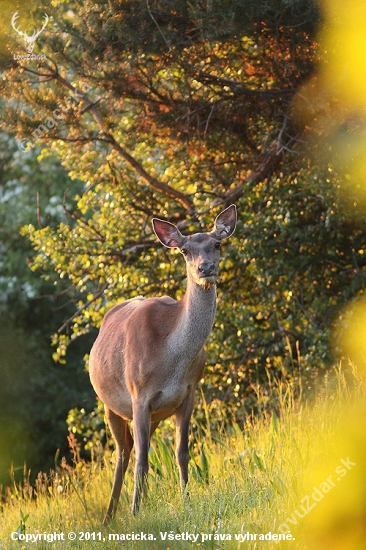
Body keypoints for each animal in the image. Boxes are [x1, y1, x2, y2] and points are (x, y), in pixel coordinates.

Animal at [88, 205, 237, 524]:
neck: (172, 361)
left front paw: (187, 501)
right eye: (184, 250)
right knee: (124, 453)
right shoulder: (139, 395)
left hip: (154, 415)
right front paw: (135, 513)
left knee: (133, 448)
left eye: (217, 244)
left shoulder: (188, 393)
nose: (206, 268)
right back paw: (110, 517)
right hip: (110, 404)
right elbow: (142, 461)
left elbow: (182, 452)